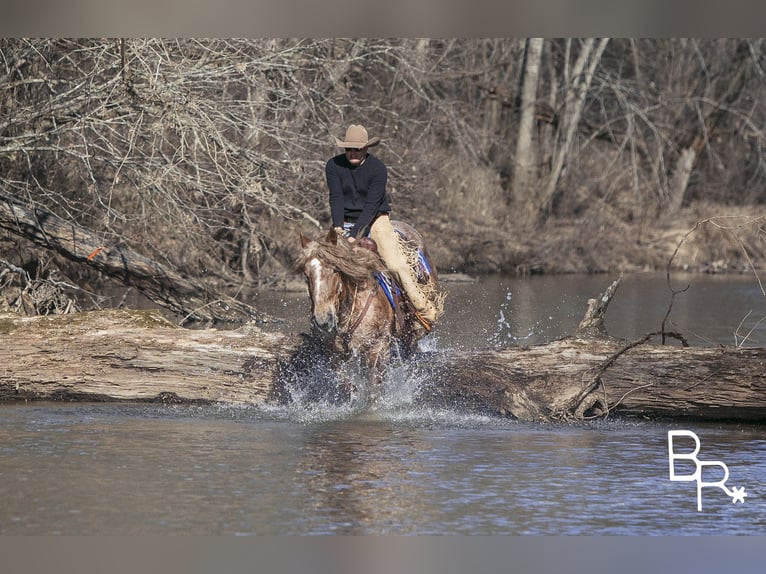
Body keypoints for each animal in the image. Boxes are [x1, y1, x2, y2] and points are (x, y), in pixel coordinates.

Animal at [296, 223, 440, 402]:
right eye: (306, 274)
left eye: (336, 270)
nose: (323, 320)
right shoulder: (332, 352)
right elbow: (346, 385)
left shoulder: (378, 346)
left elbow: (373, 390)